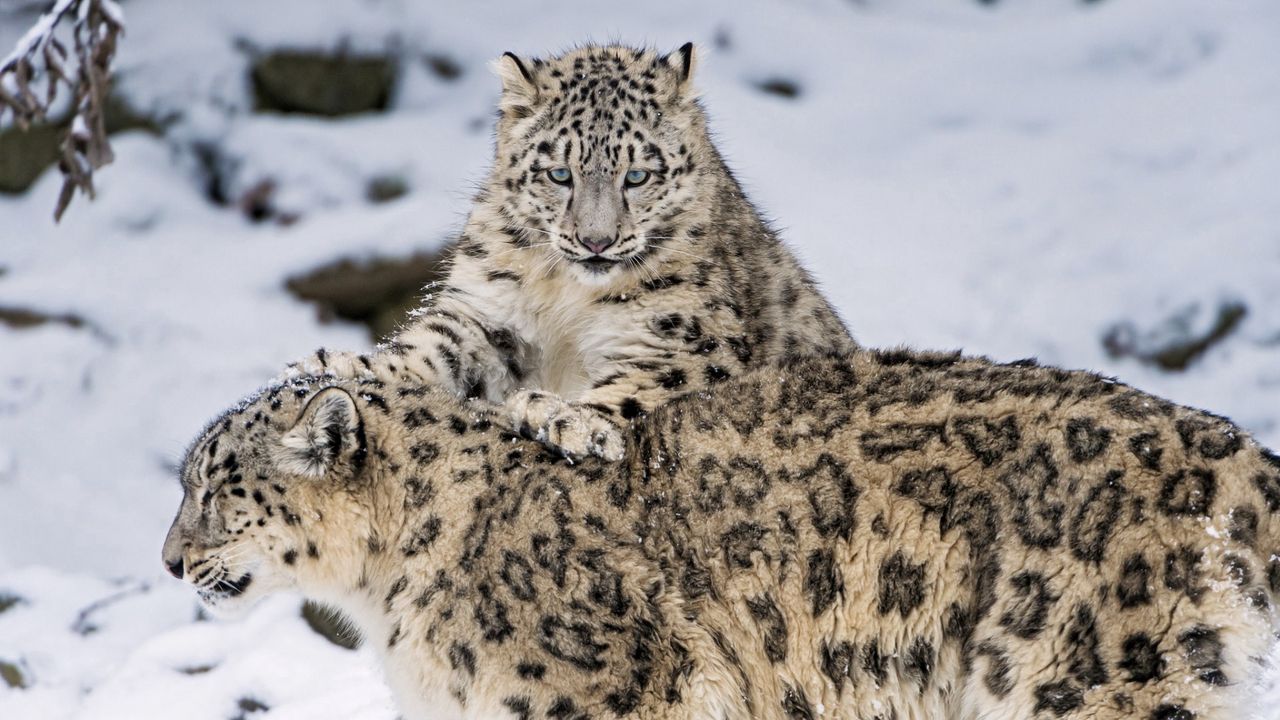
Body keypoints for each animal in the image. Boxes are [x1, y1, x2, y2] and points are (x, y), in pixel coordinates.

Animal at [293, 44, 855, 456]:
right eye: (560, 173)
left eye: (637, 175)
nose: (596, 240)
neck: (567, 294)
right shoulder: (489, 314)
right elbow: (434, 347)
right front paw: (342, 364)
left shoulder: (694, 339)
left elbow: (650, 383)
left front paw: (566, 417)